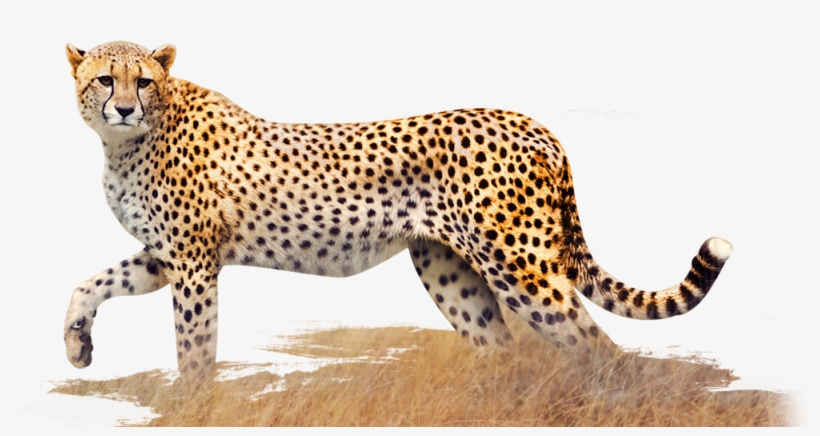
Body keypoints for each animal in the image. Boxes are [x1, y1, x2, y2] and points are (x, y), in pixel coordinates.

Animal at [63, 41, 733, 381]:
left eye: (143, 81)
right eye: (104, 79)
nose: (124, 107)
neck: (127, 143)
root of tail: (530, 122)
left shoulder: (195, 263)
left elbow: (194, 345)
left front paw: (195, 404)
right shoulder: (166, 256)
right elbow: (91, 283)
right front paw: (77, 346)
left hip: (520, 267)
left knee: (599, 346)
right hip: (447, 268)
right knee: (504, 350)